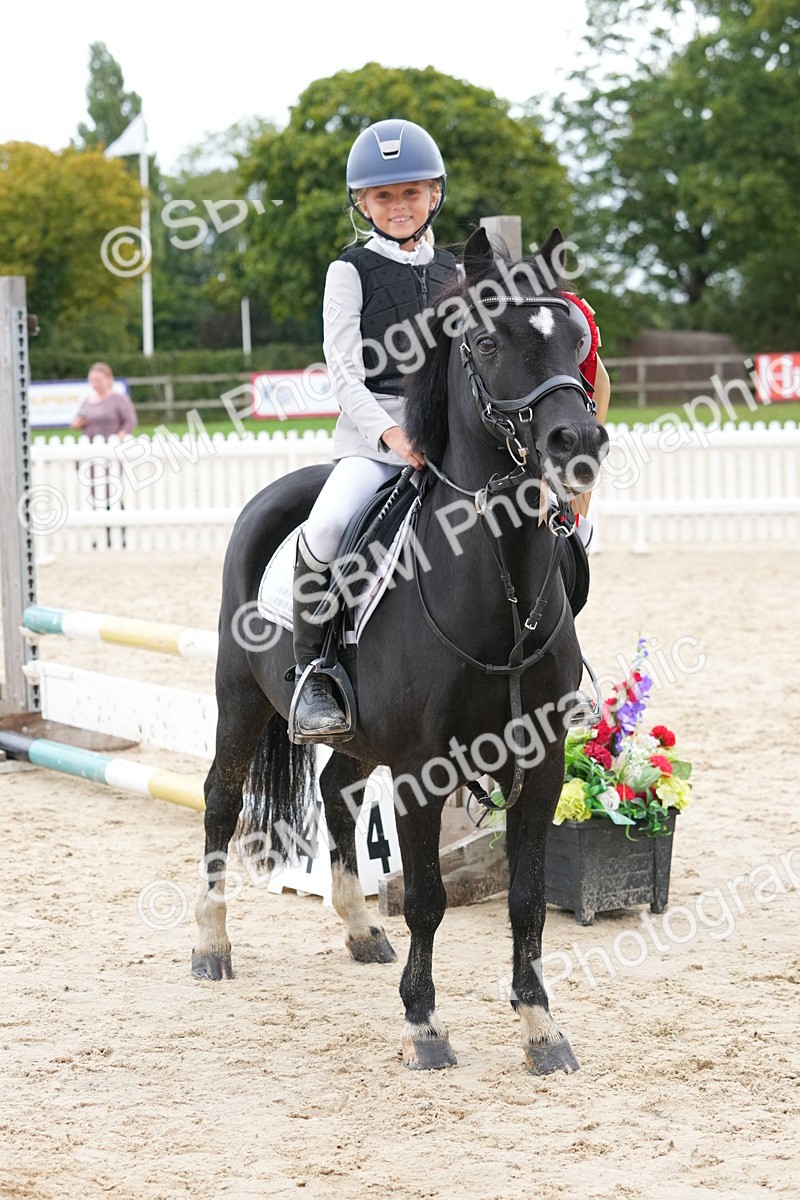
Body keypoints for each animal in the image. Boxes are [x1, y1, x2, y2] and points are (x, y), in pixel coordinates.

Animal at [192, 226, 610, 1074]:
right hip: (239, 698)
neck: (494, 586)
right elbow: (426, 899)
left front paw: (540, 1026)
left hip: (357, 737)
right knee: (221, 800)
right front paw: (423, 1024)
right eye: (486, 341)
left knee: (336, 794)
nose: (577, 441)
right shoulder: (424, 769)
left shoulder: (542, 763)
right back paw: (213, 947)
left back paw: (359, 931)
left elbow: (525, 899)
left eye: (576, 341)